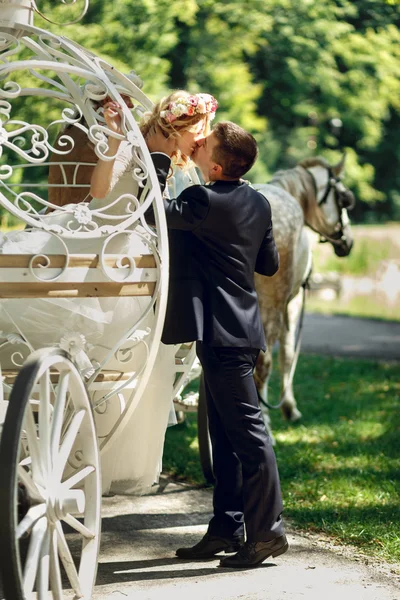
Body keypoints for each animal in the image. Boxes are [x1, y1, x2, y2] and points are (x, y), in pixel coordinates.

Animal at [255, 155, 354, 436]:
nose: (349, 241)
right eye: (343, 199)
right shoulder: (292, 301)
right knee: (263, 363)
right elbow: (287, 354)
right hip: (272, 306)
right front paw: (289, 408)